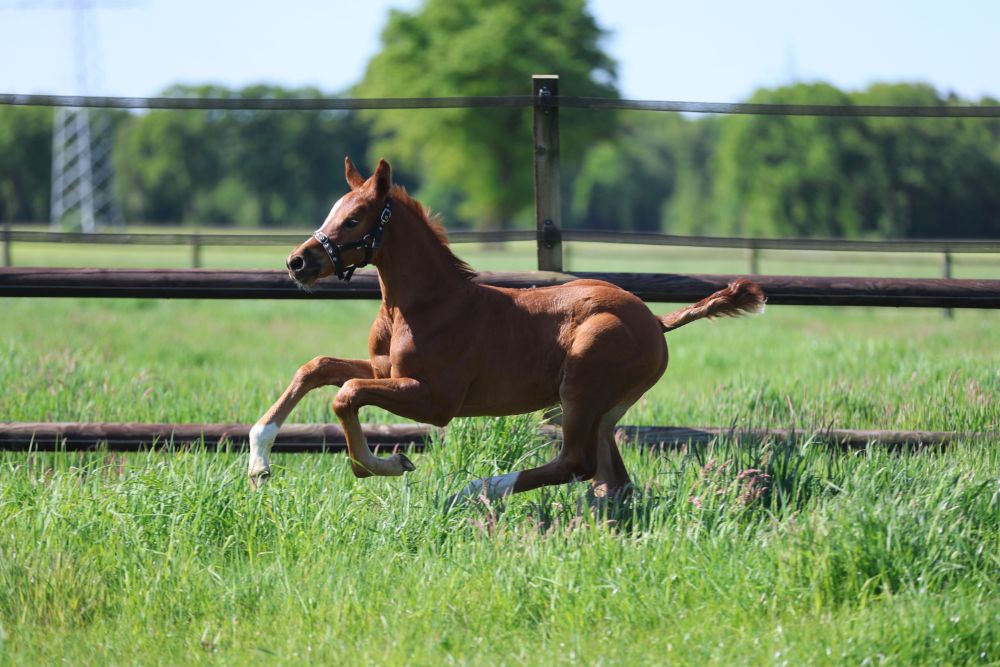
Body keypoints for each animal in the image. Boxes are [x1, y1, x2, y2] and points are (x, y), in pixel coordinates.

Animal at [247, 157, 765, 503]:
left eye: (353, 219)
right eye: (331, 213)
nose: (297, 262)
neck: (422, 305)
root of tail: (655, 321)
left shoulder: (436, 400)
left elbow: (346, 393)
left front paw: (384, 464)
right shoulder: (386, 369)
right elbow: (317, 368)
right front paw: (258, 460)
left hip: (582, 389)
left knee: (576, 463)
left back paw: (474, 491)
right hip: (605, 409)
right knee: (610, 478)